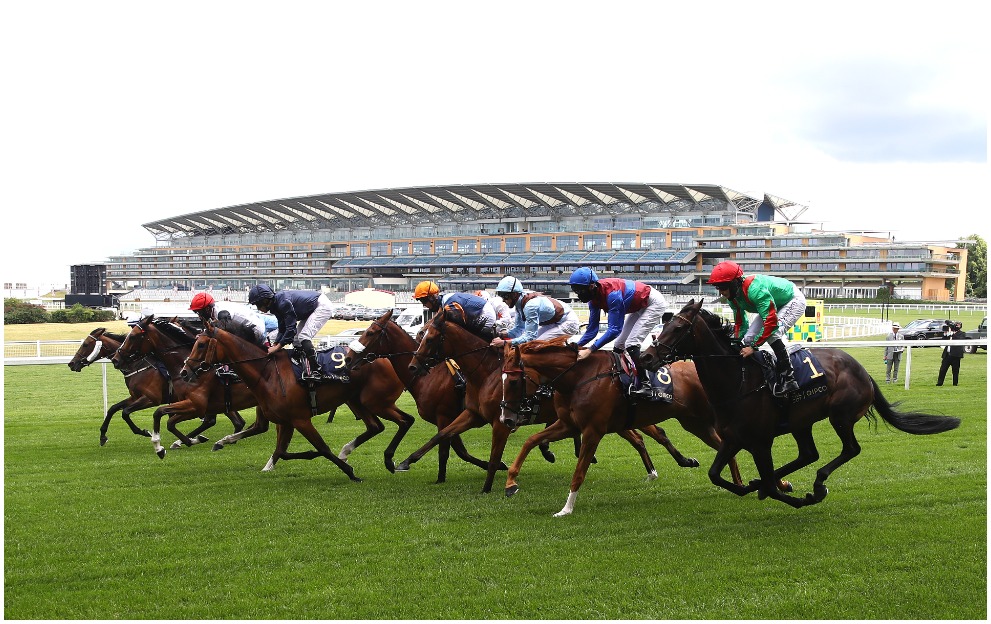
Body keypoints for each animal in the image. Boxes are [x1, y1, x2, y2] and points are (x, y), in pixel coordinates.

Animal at [178, 316, 410, 478]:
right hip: (357, 400)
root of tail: (385, 357)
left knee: (405, 420)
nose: (184, 372)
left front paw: (350, 472)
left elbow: (322, 448)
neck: (266, 372)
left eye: (200, 344)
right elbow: (281, 450)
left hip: (376, 401)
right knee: (376, 426)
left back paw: (390, 460)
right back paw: (348, 450)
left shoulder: (300, 419)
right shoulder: (285, 421)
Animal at [400, 310, 684, 494]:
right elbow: (441, 435)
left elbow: (494, 455)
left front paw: (488, 487)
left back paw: (676, 461)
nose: (413, 366)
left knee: (652, 433)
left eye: (429, 338)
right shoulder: (472, 414)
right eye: (420, 335)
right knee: (639, 437)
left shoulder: (500, 422)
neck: (486, 372)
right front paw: (406, 461)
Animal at [504, 336, 768, 516]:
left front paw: (566, 509)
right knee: (725, 445)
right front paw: (510, 483)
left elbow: (579, 472)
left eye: (514, 381)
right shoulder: (569, 425)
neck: (579, 378)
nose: (507, 418)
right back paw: (738, 483)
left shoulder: (593, 431)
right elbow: (531, 441)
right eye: (503, 378)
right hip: (694, 423)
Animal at [644, 300, 960, 510]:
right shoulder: (734, 439)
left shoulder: (761, 442)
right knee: (809, 454)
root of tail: (863, 371)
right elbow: (715, 475)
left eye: (678, 327)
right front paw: (753, 486)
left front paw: (796, 497)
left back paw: (818, 486)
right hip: (801, 421)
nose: (646, 357)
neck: (739, 382)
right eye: (664, 324)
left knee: (849, 449)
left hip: (840, 416)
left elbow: (771, 486)